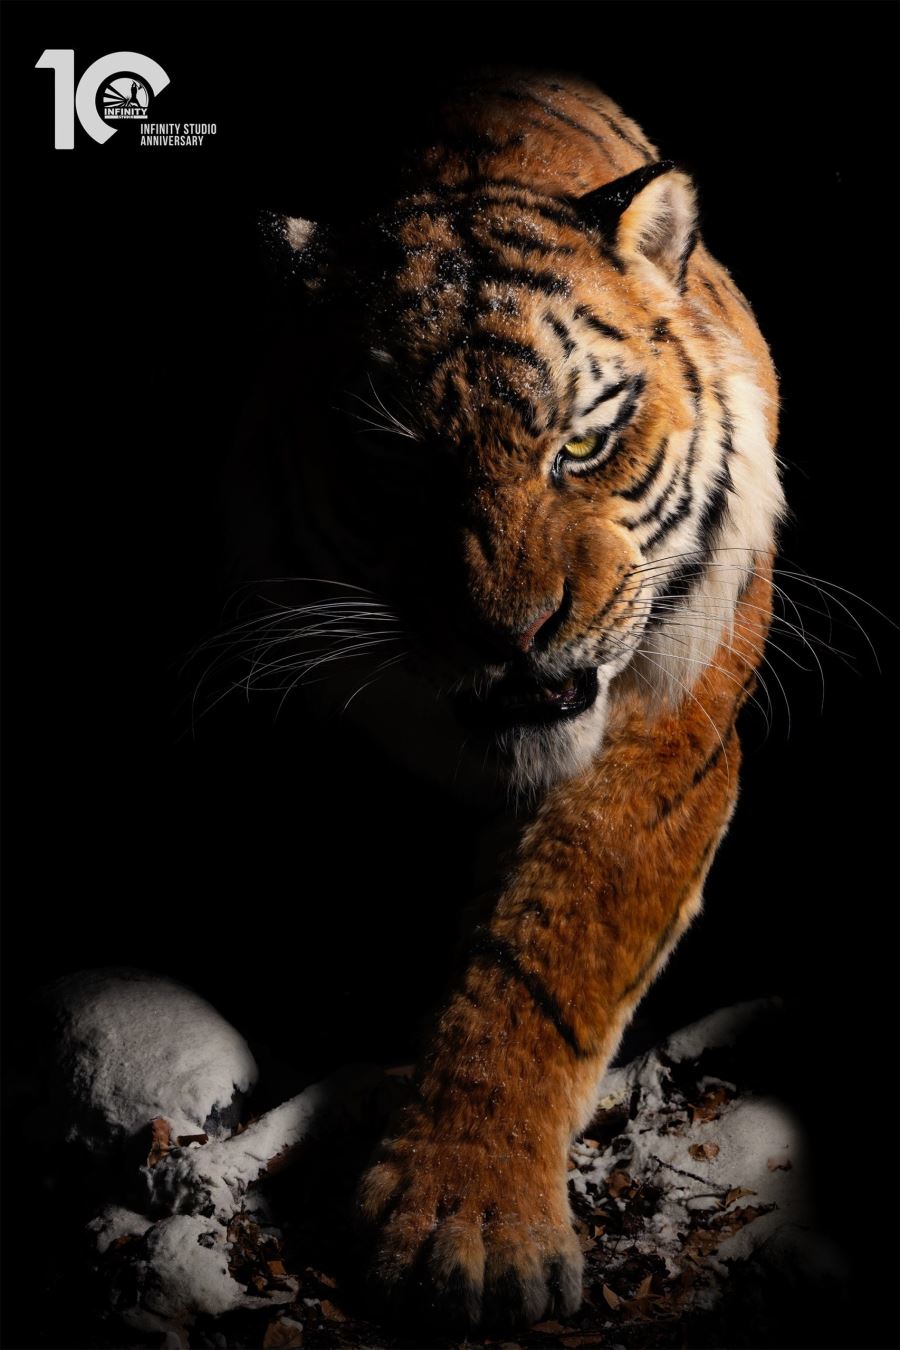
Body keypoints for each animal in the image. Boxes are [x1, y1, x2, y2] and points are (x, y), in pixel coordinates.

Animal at [250, 69, 785, 1328]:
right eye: (400, 466)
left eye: (582, 445)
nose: (515, 633)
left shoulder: (668, 730)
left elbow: (544, 956)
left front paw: (472, 1228)